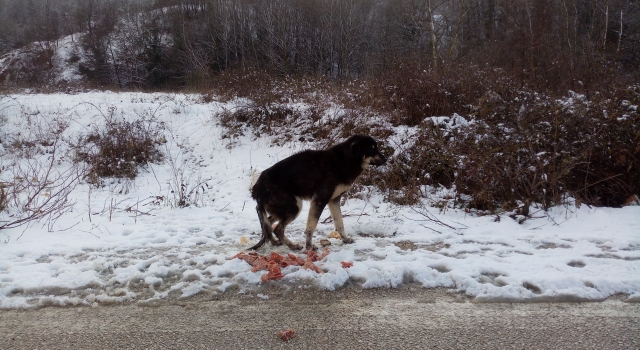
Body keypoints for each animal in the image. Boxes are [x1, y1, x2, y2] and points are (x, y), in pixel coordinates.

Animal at [251, 135, 388, 252]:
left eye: (376, 147)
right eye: (371, 149)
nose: (386, 159)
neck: (345, 160)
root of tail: (256, 188)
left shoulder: (334, 200)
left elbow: (339, 223)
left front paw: (345, 239)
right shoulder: (320, 199)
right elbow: (311, 226)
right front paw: (309, 246)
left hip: (283, 209)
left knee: (268, 223)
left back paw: (274, 241)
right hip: (294, 206)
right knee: (278, 229)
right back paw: (293, 246)